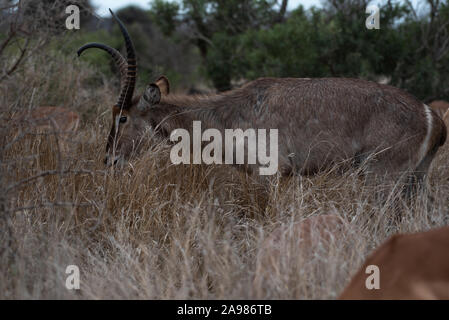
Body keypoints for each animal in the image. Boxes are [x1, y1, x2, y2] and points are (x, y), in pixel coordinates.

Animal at [78, 10, 444, 188]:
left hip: (380, 178)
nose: (109, 159)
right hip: (416, 181)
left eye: (122, 116)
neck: (228, 114)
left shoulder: (270, 175)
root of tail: (431, 115)